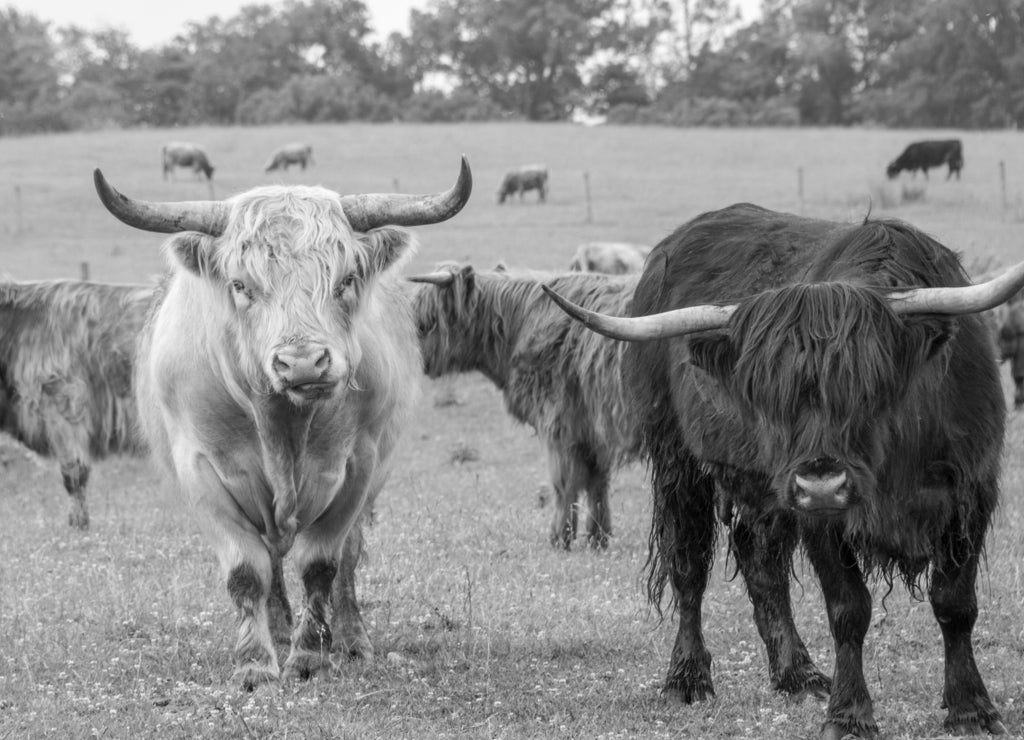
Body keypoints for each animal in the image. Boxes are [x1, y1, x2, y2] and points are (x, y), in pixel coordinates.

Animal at [94, 156, 468, 687]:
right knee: (269, 561)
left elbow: (323, 564)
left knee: (347, 562)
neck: (283, 427)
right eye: (240, 285)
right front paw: (255, 661)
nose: (304, 363)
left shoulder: (357, 467)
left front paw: (310, 655)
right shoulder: (202, 471)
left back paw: (348, 639)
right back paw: (279, 629)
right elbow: (246, 571)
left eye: (346, 279)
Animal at [409, 264, 638, 548]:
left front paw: (559, 538)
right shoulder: (594, 431)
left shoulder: (560, 424)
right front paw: (598, 538)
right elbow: (597, 483)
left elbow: (564, 483)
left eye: (425, 321)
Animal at [544, 203, 1015, 740]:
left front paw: (972, 710)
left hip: (763, 488)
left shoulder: (973, 493)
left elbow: (955, 603)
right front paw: (849, 715)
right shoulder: (819, 519)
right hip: (679, 464)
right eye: (766, 391)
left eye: (871, 383)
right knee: (688, 567)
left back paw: (798, 674)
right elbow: (848, 608)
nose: (822, 484)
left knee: (761, 565)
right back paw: (688, 678)